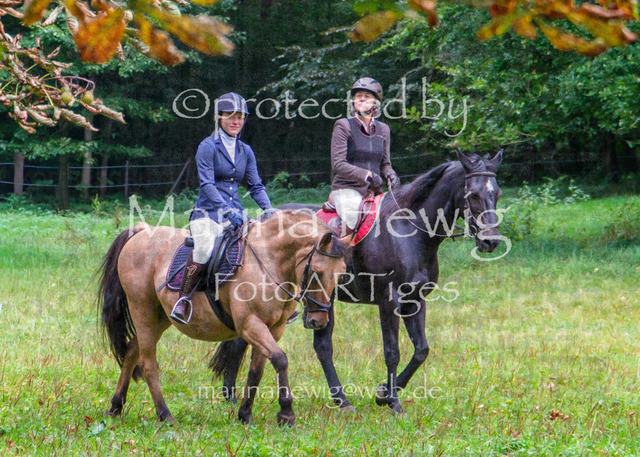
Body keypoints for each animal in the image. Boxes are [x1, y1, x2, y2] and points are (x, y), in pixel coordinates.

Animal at [97, 211, 347, 425]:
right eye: (317, 272)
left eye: (342, 274)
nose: (319, 321)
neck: (269, 261)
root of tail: (142, 231)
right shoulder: (250, 324)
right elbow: (280, 359)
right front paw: (286, 413)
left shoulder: (273, 329)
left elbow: (257, 369)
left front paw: (245, 414)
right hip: (143, 310)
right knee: (148, 363)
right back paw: (165, 415)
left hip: (160, 317)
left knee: (131, 351)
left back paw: (116, 406)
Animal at [211, 150, 504, 413]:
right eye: (473, 194)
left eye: (497, 193)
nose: (491, 241)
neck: (408, 231)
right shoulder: (389, 301)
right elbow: (392, 351)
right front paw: (393, 402)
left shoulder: (415, 300)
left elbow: (421, 350)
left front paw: (384, 393)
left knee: (304, 345)